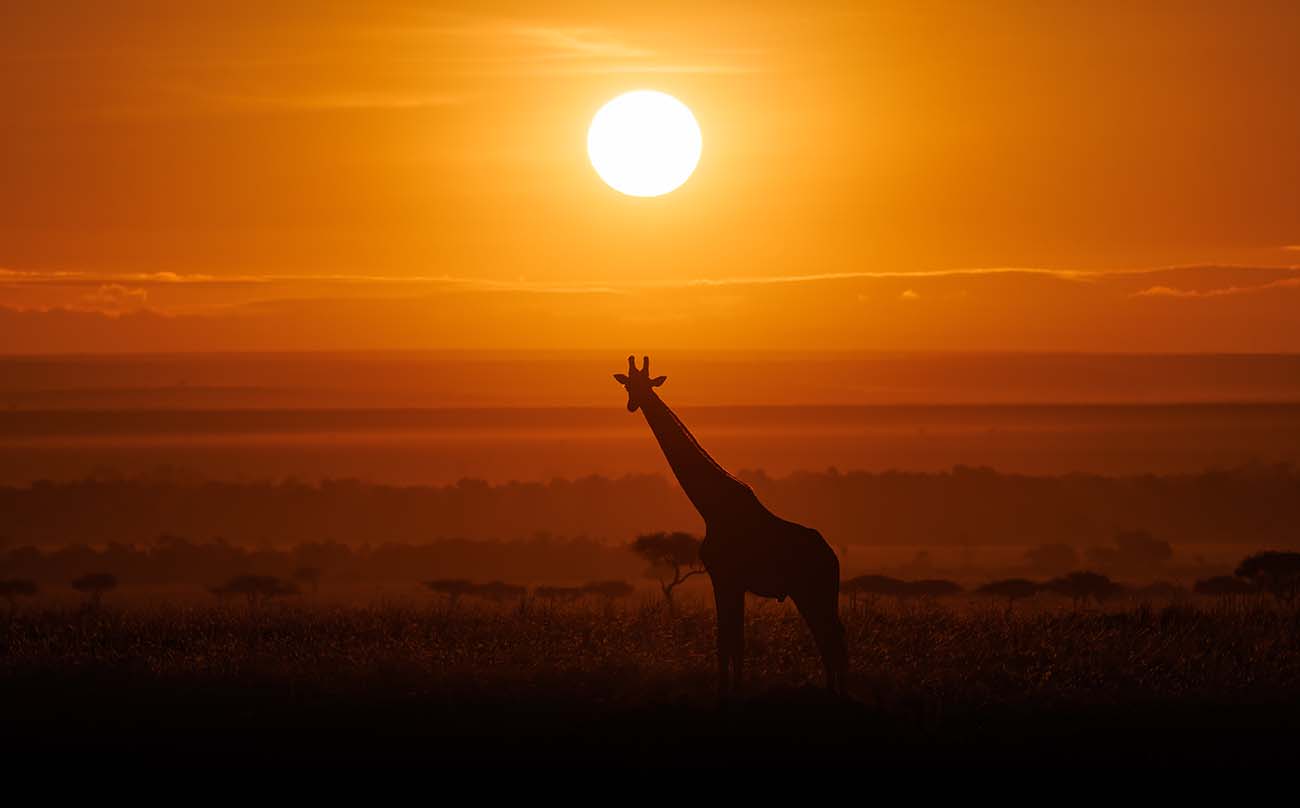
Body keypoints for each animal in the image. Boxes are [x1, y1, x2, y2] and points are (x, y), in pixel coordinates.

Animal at [613, 358, 847, 701]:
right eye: (628, 385)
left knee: (830, 636)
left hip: (811, 590)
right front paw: (736, 687)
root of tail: (833, 559)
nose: (633, 405)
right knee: (833, 635)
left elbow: (725, 639)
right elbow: (736, 639)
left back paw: (836, 692)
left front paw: (724, 691)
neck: (711, 507)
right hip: (819, 592)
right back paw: (834, 690)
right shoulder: (734, 582)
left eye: (646, 385)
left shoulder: (723, 577)